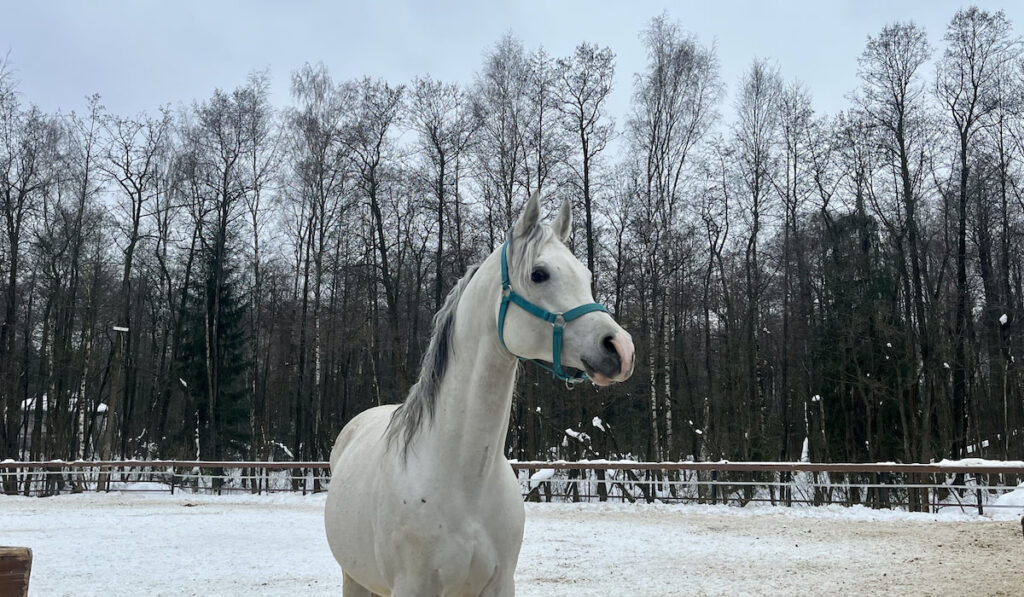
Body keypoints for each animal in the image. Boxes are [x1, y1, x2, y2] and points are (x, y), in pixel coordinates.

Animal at [325, 192, 630, 597]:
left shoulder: (500, 584)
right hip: (353, 578)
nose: (621, 348)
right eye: (539, 273)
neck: (465, 479)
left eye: (586, 276)